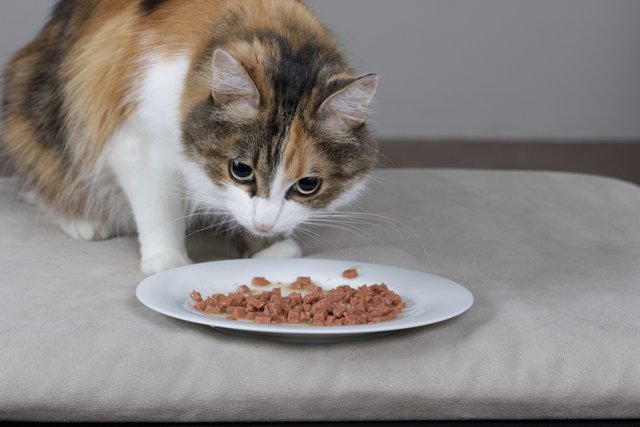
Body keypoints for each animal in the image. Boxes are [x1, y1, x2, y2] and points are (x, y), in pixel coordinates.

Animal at [2, 0, 378, 274]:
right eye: (240, 170)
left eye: (308, 185)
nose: (265, 226)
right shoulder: (136, 144)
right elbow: (158, 210)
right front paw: (167, 263)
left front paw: (269, 248)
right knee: (40, 186)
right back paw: (85, 220)